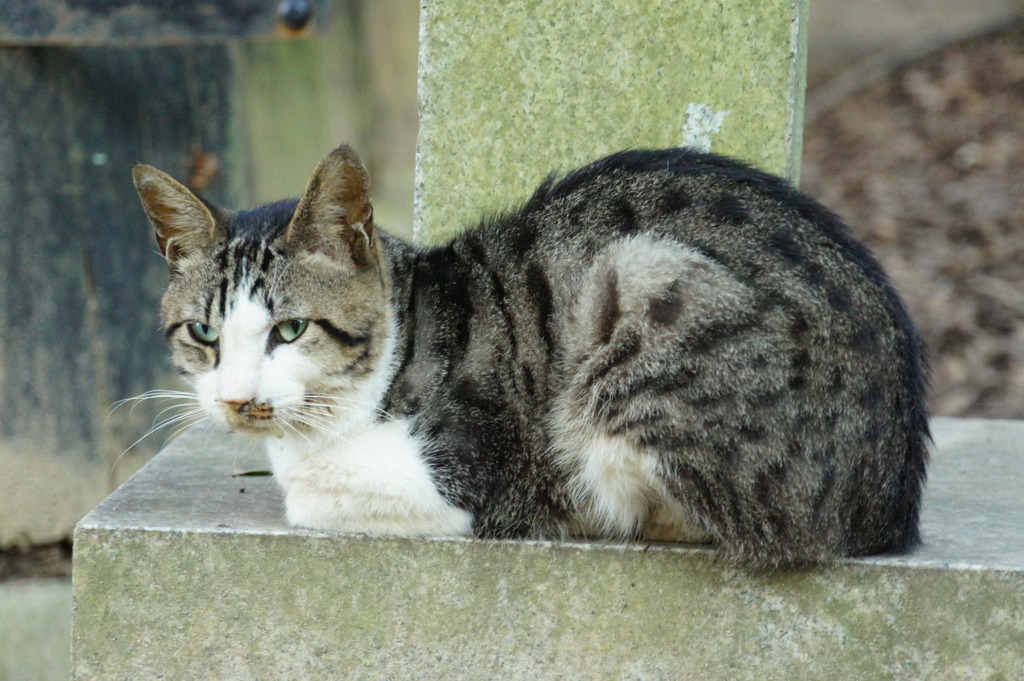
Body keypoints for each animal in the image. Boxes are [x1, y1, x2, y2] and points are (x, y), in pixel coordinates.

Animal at [134, 146, 929, 565]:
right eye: (204, 335)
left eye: (291, 330)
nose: (236, 398)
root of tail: (890, 505)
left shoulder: (473, 474)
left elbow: (313, 491)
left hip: (644, 280)